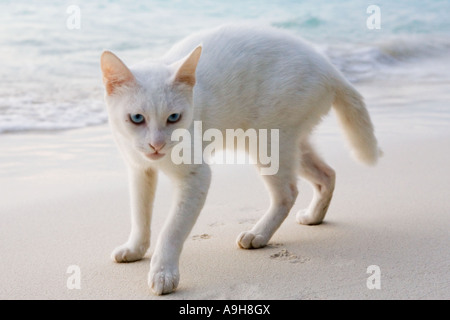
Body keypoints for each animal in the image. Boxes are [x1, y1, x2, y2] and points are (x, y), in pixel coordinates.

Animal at [101, 24, 380, 296]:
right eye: (137, 118)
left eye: (174, 118)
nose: (156, 144)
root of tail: (328, 66)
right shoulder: (139, 170)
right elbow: (140, 215)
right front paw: (135, 249)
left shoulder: (196, 176)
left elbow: (172, 230)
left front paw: (163, 273)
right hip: (290, 145)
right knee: (327, 175)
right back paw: (313, 217)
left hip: (267, 145)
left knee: (288, 193)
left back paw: (258, 234)